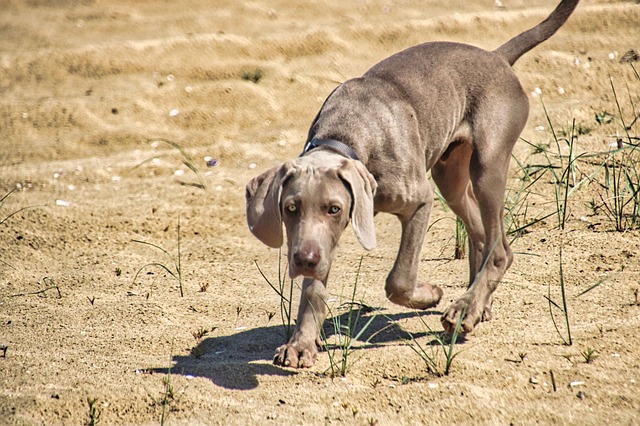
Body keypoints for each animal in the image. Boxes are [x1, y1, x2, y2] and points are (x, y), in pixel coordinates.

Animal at [245, 0, 580, 366]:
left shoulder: (420, 200)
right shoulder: (321, 237)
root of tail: (497, 57)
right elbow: (313, 292)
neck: (346, 135)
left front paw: (430, 294)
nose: (304, 261)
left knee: (500, 249)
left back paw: (464, 308)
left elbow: (399, 280)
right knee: (481, 235)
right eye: (290, 208)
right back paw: (477, 305)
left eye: (334, 208)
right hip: (450, 175)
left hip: (487, 164)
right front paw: (301, 344)